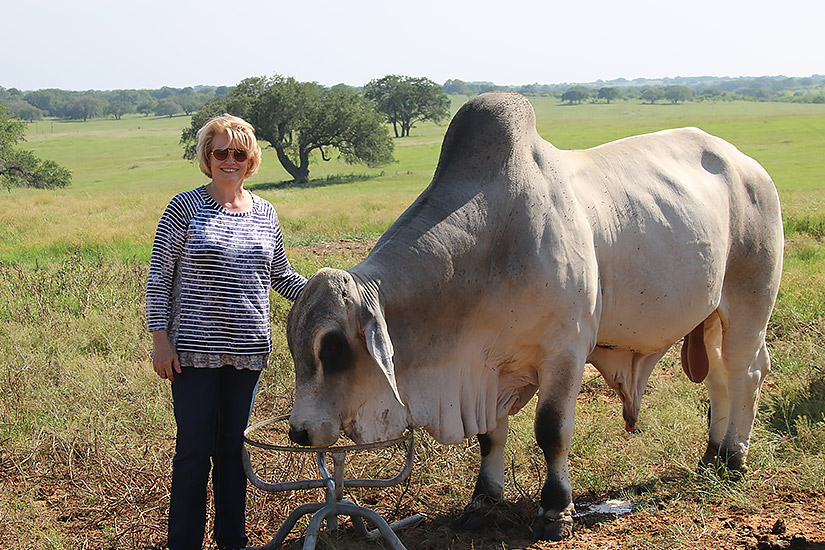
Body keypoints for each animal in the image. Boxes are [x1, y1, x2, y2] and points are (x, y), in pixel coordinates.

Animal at [286, 92, 784, 540]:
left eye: (332, 348)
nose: (299, 432)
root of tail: (747, 165)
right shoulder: (487, 370)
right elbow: (490, 436)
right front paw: (483, 502)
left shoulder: (565, 351)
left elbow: (552, 431)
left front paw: (555, 511)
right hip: (710, 318)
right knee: (719, 377)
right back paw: (711, 456)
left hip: (749, 304)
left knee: (745, 373)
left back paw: (734, 457)